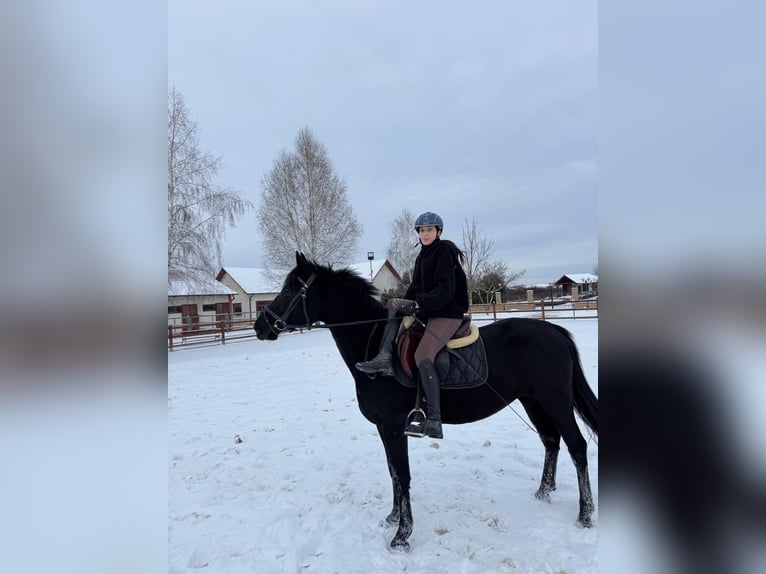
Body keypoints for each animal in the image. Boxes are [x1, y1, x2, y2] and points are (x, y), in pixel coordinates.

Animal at [254, 252, 598, 551]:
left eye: (291, 289)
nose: (260, 326)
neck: (374, 346)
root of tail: (554, 330)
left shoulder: (394, 426)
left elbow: (402, 475)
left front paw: (402, 536)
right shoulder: (384, 428)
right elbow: (393, 472)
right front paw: (393, 517)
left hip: (556, 402)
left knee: (577, 446)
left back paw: (585, 514)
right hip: (532, 401)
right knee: (551, 441)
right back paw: (543, 493)